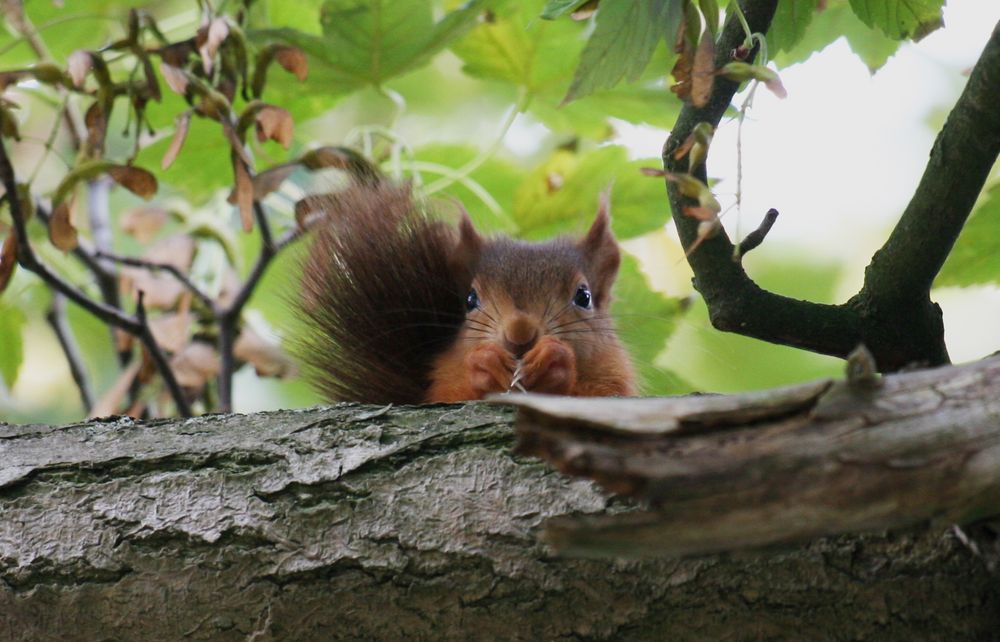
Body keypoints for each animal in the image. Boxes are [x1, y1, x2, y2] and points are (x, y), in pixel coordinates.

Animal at [296, 179, 636, 400]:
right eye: (471, 299)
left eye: (584, 297)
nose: (519, 334)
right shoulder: (444, 384)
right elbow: (452, 393)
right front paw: (485, 363)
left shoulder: (615, 379)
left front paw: (555, 359)